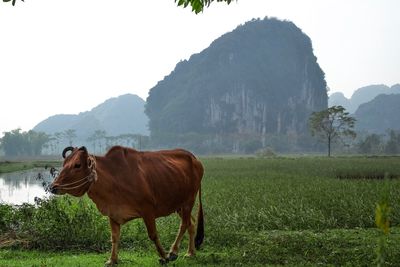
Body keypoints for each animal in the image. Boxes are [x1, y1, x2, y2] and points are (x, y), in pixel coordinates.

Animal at [49, 147, 205, 266]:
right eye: (65, 163)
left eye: (77, 165)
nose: (53, 186)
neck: (114, 178)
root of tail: (194, 158)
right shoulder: (113, 213)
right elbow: (114, 237)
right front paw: (112, 260)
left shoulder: (148, 210)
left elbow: (153, 235)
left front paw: (164, 256)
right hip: (179, 205)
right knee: (191, 224)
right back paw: (190, 253)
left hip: (189, 201)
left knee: (184, 224)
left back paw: (173, 252)